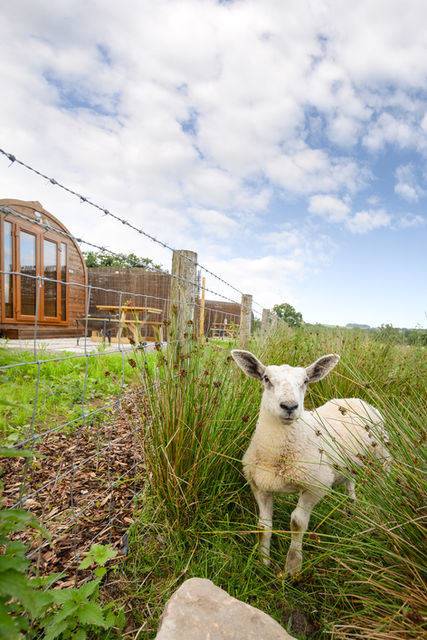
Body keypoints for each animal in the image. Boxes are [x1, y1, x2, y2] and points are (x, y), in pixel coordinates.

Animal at [231, 349, 390, 577]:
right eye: (266, 378)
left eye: (305, 381)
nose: (289, 407)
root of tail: (357, 399)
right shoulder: (259, 486)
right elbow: (263, 527)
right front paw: (263, 564)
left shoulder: (315, 485)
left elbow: (297, 523)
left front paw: (292, 569)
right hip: (349, 464)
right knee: (350, 484)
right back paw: (350, 512)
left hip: (381, 453)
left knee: (385, 478)